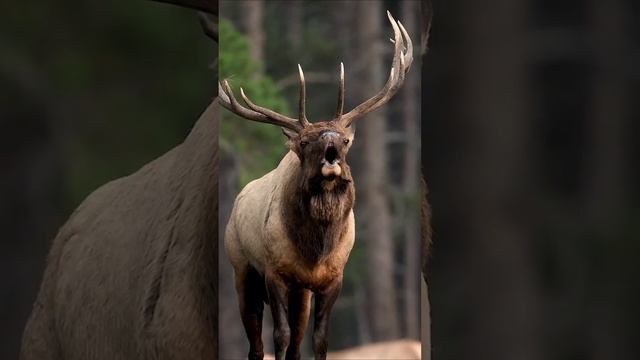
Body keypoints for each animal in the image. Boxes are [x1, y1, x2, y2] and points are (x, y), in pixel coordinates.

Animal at [220, 9, 412, 360]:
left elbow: (319, 339)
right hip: (241, 269)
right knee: (256, 344)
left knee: (296, 342)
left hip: (301, 293)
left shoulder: (332, 278)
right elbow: (280, 336)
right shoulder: (274, 272)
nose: (331, 153)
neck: (316, 249)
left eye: (346, 140)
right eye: (306, 142)